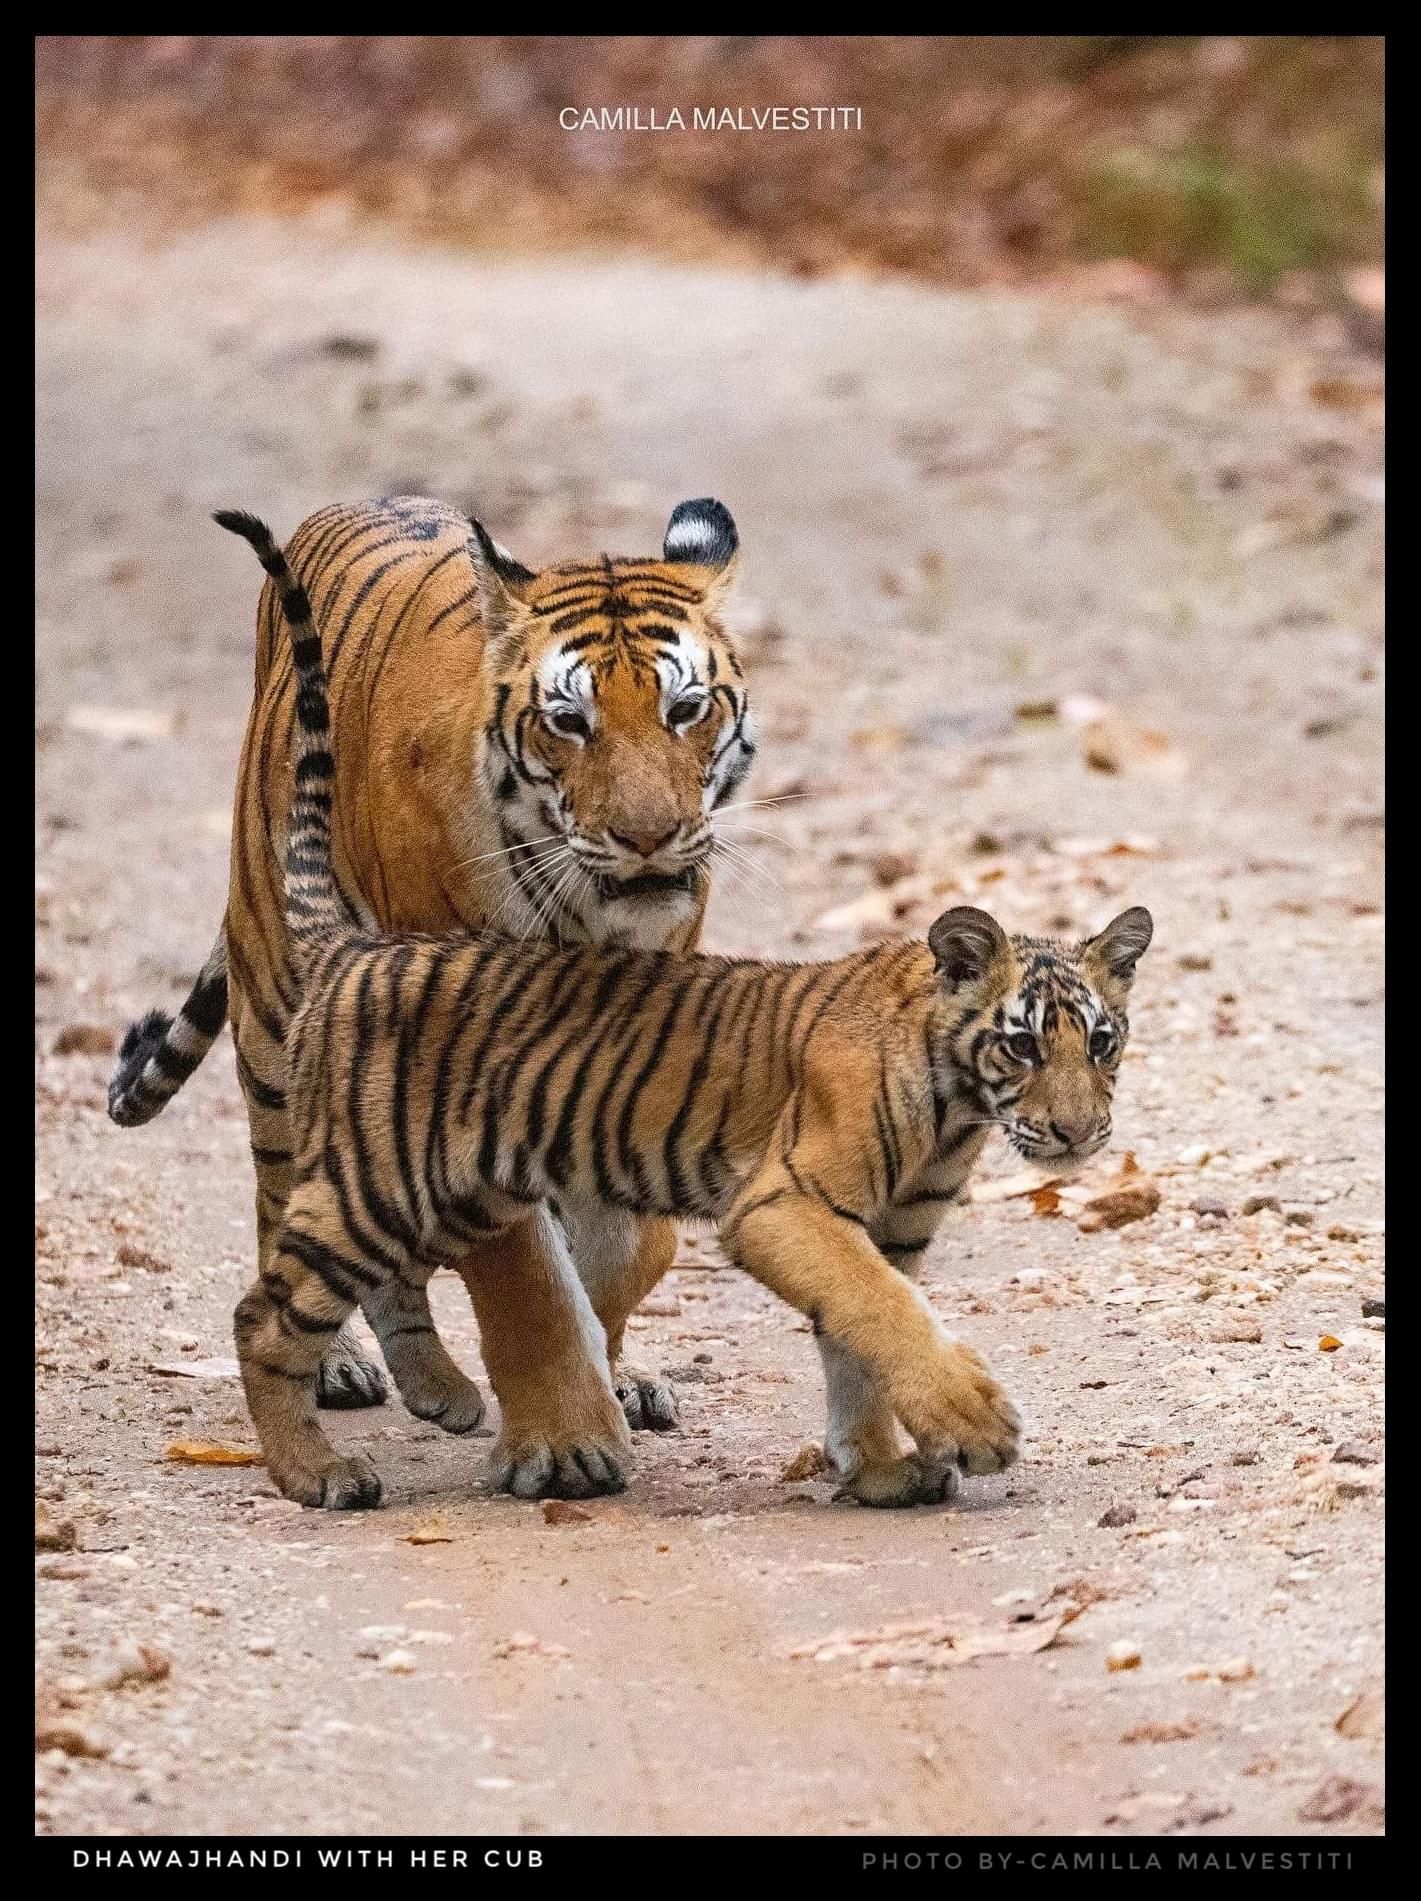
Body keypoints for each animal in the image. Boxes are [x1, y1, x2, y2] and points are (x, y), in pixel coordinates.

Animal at [108, 493, 756, 1497]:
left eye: (684, 709)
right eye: (569, 721)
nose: (648, 838)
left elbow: (620, 1247)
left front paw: (604, 1366)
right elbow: (526, 1269)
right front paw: (565, 1443)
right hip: (281, 1019)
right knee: (287, 1198)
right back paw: (347, 1370)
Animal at [233, 510, 1154, 1511]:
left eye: (1101, 1042)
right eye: (1020, 1045)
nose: (1075, 1132)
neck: (956, 1108)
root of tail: (351, 948)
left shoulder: (889, 1228)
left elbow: (851, 1340)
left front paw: (878, 1466)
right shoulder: (786, 1201)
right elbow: (876, 1311)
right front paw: (971, 1421)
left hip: (457, 1190)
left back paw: (443, 1391)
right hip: (349, 1138)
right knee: (265, 1303)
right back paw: (318, 1465)